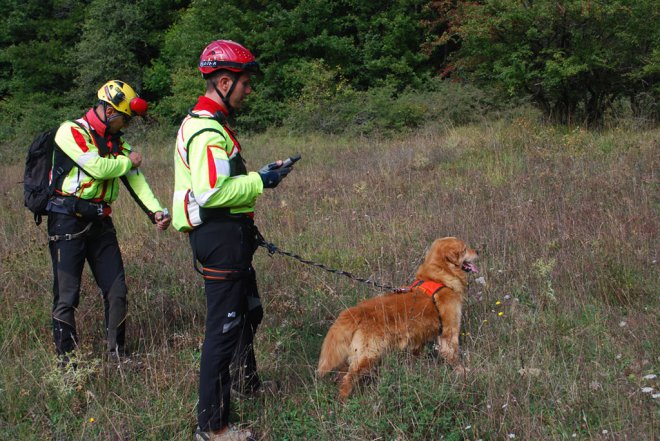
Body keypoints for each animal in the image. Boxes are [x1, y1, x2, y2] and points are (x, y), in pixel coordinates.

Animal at [318, 237, 476, 398]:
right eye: (464, 249)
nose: (478, 251)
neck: (440, 278)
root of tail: (356, 311)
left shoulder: (419, 337)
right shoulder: (449, 332)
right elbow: (453, 355)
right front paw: (462, 372)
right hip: (368, 355)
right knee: (347, 379)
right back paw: (344, 400)